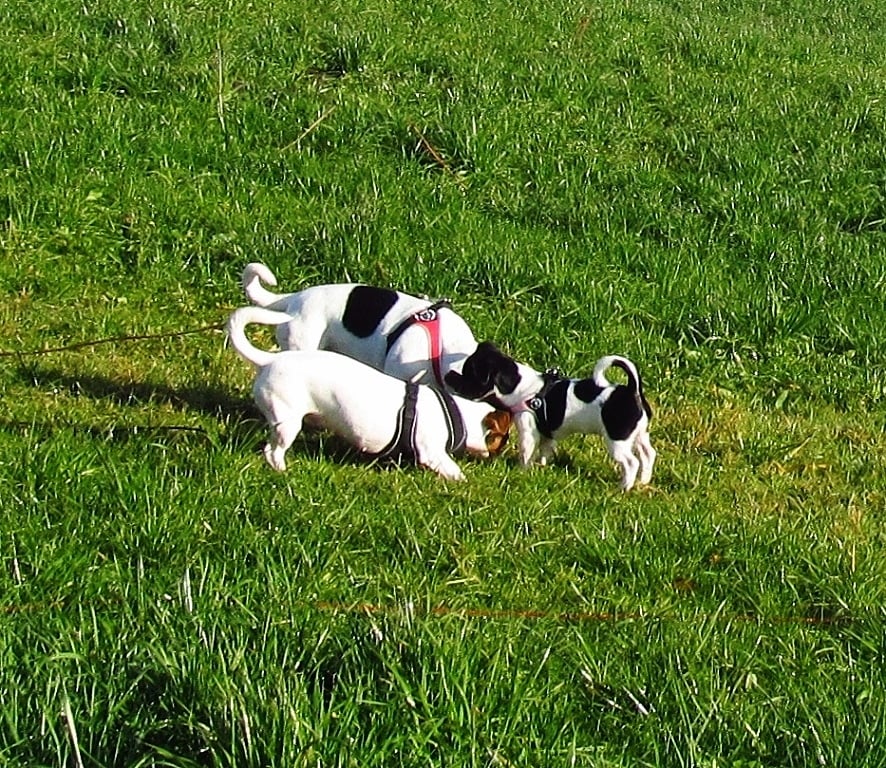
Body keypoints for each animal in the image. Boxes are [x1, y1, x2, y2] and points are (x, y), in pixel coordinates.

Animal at [227, 306, 512, 481]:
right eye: (503, 437)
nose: (499, 458)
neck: (455, 413)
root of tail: (269, 360)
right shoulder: (432, 452)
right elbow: (452, 470)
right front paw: (463, 479)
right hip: (287, 422)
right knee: (272, 451)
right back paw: (282, 470)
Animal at [503, 355, 656, 490]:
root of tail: (632, 391)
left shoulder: (528, 431)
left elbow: (525, 453)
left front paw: (521, 472)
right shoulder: (547, 435)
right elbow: (545, 451)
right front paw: (541, 467)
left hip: (618, 441)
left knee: (632, 463)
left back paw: (623, 487)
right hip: (639, 435)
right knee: (648, 454)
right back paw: (643, 481)